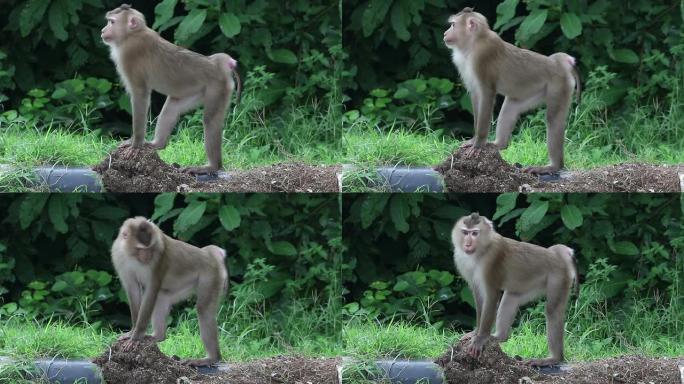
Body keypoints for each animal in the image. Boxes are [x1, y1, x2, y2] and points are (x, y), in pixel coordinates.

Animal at [100, 4, 242, 176]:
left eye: (112, 22)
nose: (103, 30)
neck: (133, 34)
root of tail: (218, 63)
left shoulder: (129, 57)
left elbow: (140, 94)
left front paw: (136, 144)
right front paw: (136, 142)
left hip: (218, 88)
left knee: (210, 120)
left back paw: (212, 167)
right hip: (195, 91)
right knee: (172, 108)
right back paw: (157, 144)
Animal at [111, 216, 230, 366]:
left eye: (150, 249)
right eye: (140, 249)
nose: (147, 257)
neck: (132, 256)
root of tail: (209, 254)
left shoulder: (158, 258)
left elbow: (151, 289)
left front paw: (136, 337)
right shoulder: (119, 257)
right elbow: (133, 289)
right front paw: (132, 331)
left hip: (211, 276)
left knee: (204, 310)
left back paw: (211, 358)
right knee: (162, 297)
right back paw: (158, 336)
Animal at [444, 7, 584, 174]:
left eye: (453, 25)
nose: (445, 33)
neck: (474, 42)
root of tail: (559, 63)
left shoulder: (482, 60)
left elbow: (487, 93)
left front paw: (478, 143)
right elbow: (476, 94)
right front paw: (474, 140)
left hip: (559, 86)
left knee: (553, 118)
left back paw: (553, 166)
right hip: (533, 91)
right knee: (511, 106)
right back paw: (499, 144)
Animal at [452, 213, 580, 366]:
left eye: (475, 233)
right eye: (465, 232)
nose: (468, 243)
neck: (482, 250)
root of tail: (557, 255)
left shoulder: (491, 261)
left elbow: (491, 295)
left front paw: (481, 337)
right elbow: (478, 295)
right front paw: (476, 332)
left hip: (559, 277)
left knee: (552, 310)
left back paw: (554, 358)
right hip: (530, 283)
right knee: (511, 297)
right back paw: (500, 337)